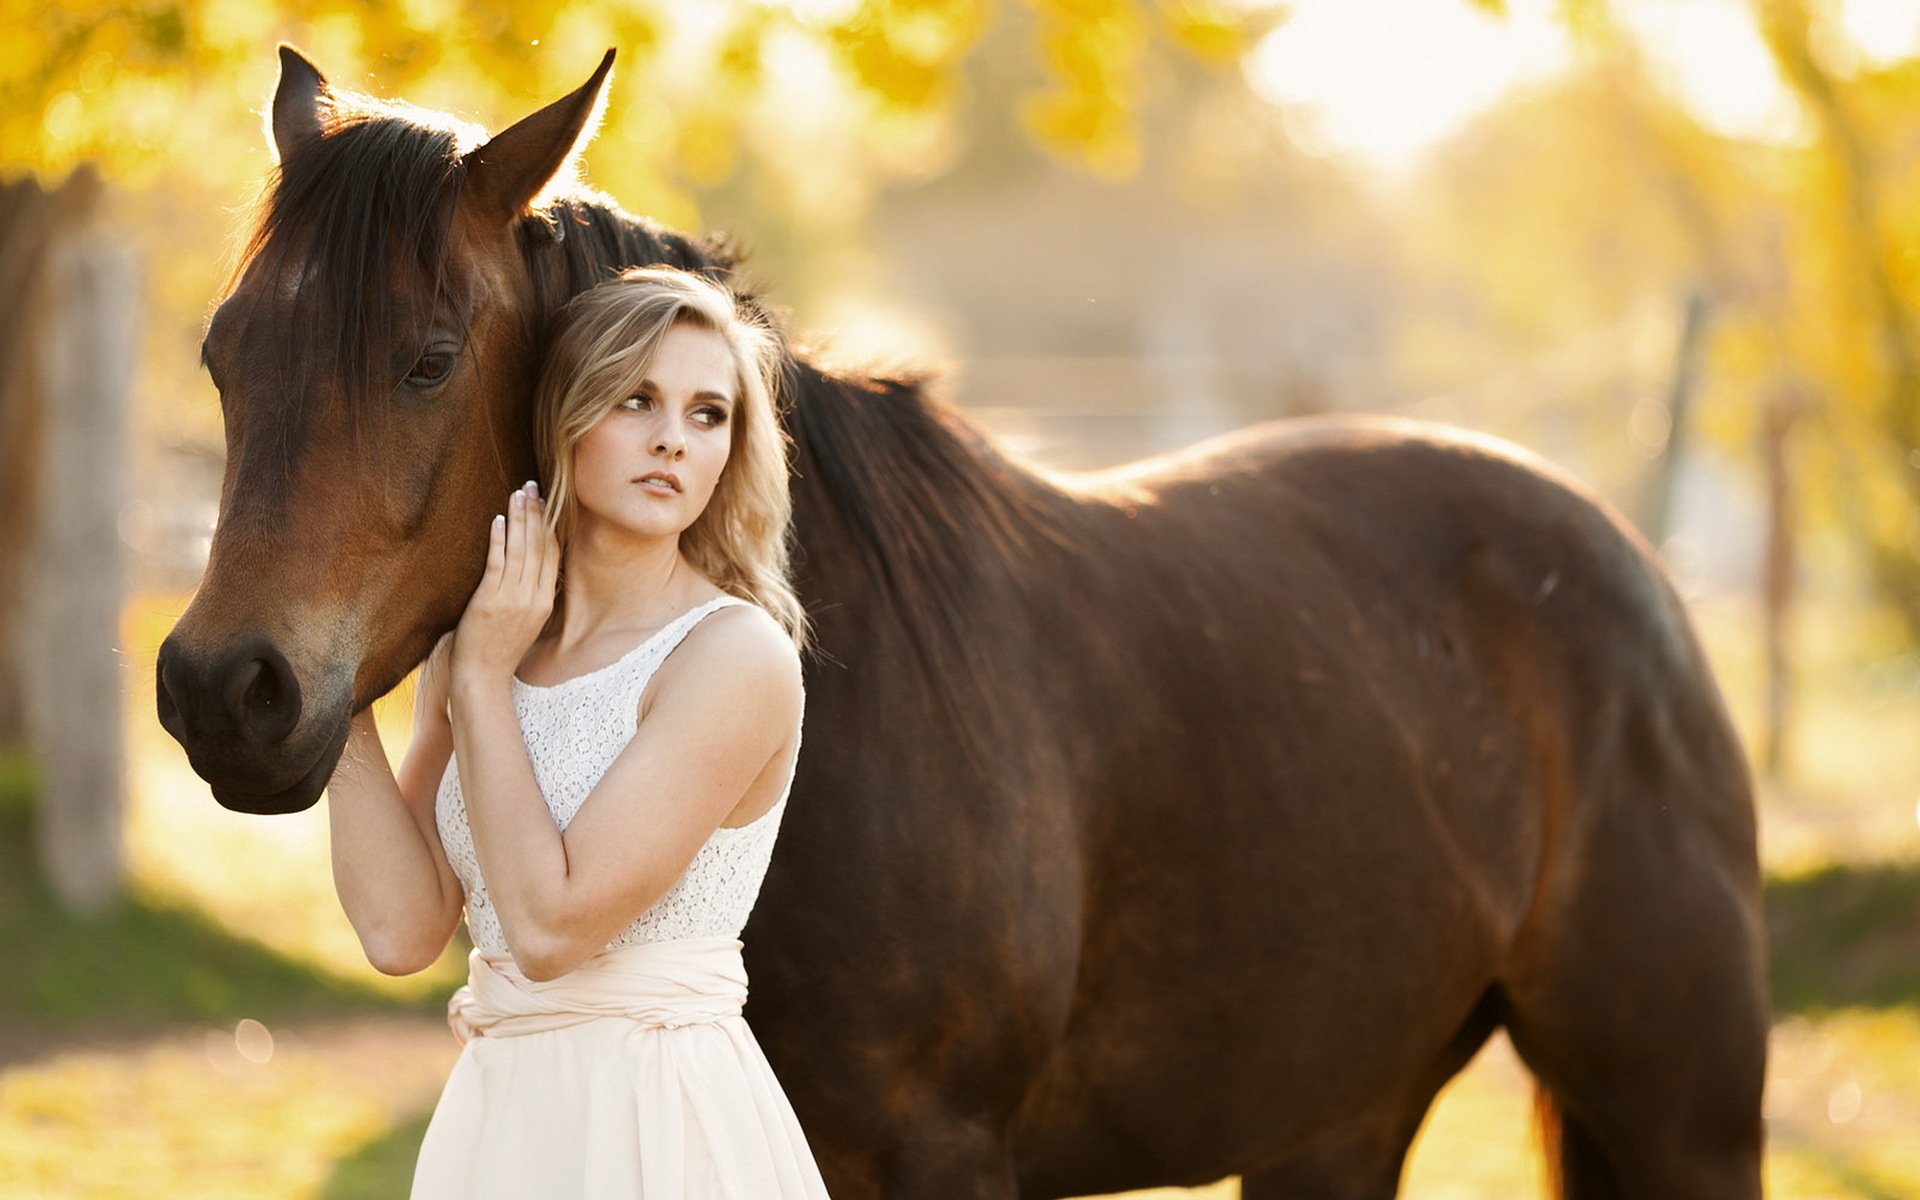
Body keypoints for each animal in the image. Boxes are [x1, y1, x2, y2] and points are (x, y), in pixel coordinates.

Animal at [156, 47, 1769, 1199]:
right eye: (225, 353)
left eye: (429, 359)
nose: (223, 692)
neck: (851, 695)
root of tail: (1627, 567)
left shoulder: (942, 1156)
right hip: (1335, 1123)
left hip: (1682, 1120)